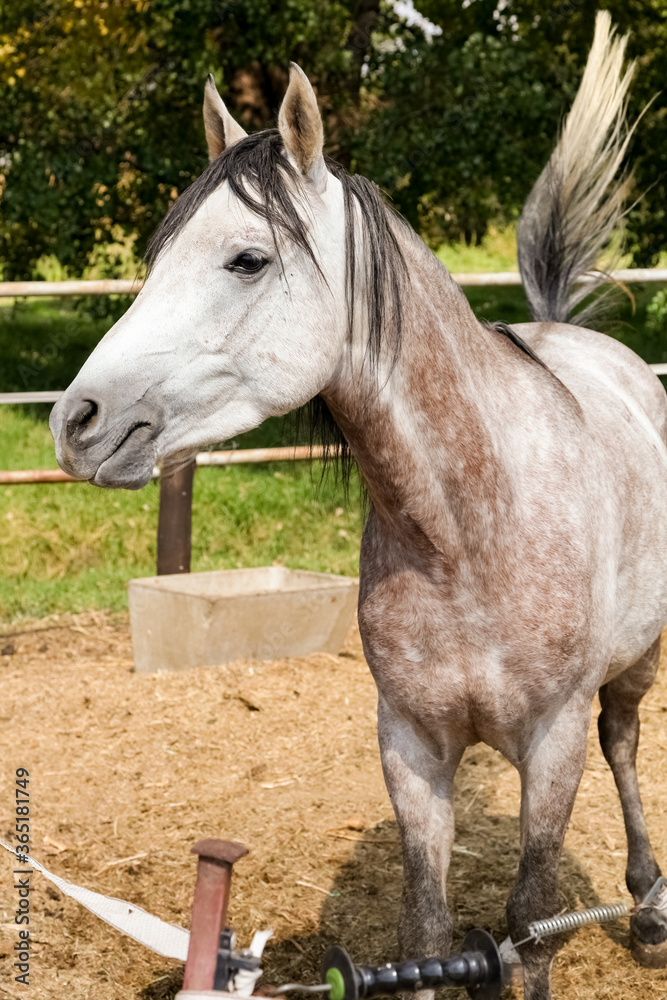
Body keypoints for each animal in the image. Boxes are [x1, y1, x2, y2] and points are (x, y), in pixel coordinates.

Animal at [50, 12, 666, 998]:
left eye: (247, 258)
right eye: (153, 260)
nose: (78, 423)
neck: (468, 532)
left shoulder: (552, 742)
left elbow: (530, 925)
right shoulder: (407, 744)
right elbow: (425, 931)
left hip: (633, 667)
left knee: (625, 745)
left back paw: (644, 909)